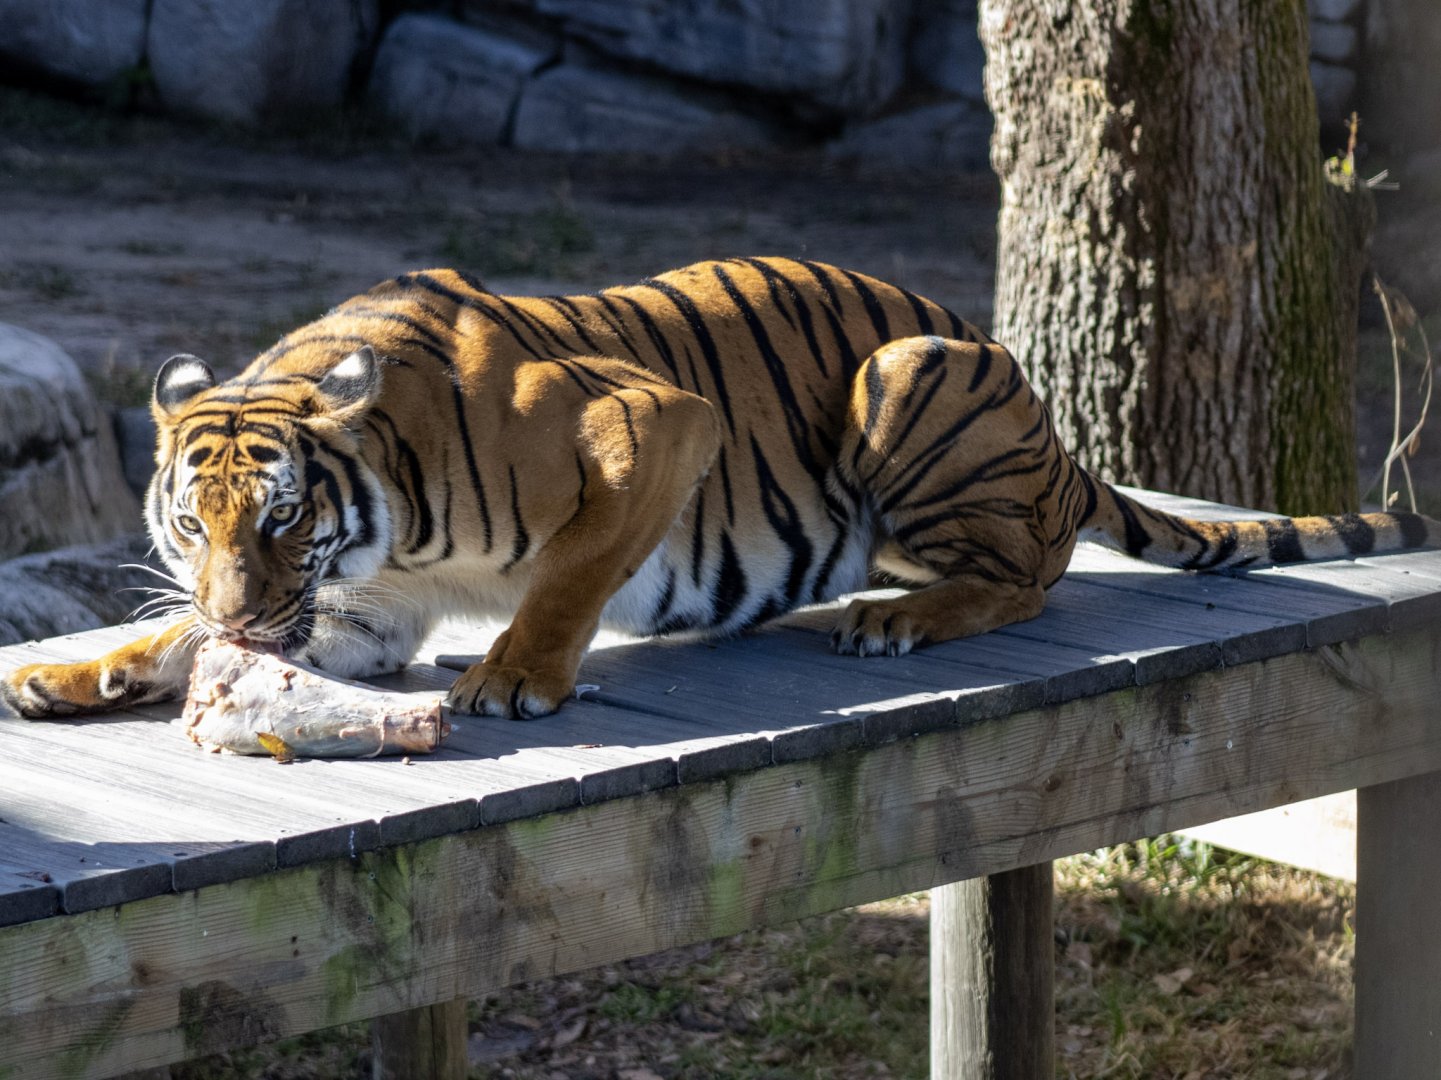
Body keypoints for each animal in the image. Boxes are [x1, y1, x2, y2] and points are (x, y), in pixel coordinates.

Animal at [2, 257, 1434, 722]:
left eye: (286, 516)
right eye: (193, 524)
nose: (245, 616)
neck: (383, 535)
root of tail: (1050, 425)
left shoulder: (650, 423)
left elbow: (571, 576)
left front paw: (512, 680)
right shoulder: (358, 618)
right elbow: (168, 640)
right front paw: (77, 672)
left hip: (904, 378)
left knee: (1031, 574)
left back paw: (896, 620)